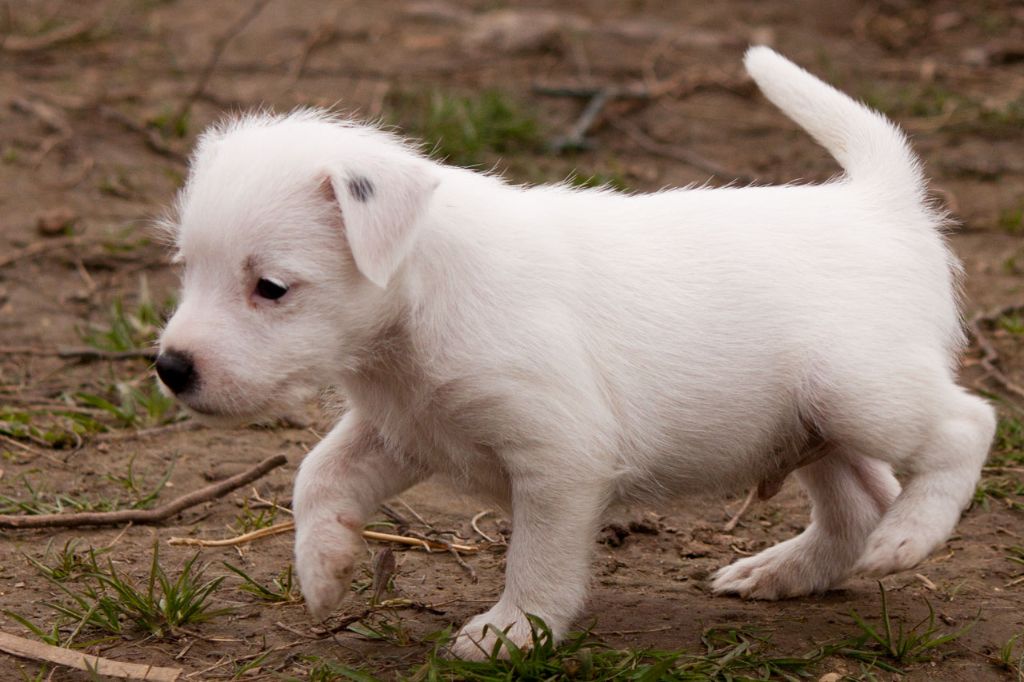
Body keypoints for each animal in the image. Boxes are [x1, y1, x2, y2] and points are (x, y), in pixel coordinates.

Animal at [156, 47, 995, 659]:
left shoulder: (558, 458)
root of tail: (883, 203)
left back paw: (909, 537)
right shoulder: (403, 431)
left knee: (966, 426)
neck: (423, 296)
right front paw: (323, 570)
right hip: (813, 424)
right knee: (859, 502)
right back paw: (786, 570)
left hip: (860, 391)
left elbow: (538, 558)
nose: (170, 369)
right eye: (185, 268)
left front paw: (511, 630)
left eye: (271, 288)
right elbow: (317, 476)